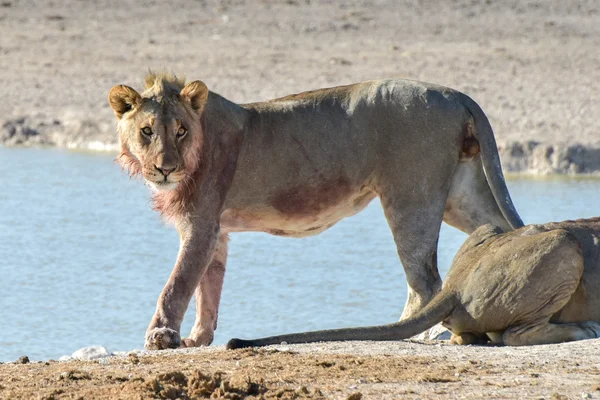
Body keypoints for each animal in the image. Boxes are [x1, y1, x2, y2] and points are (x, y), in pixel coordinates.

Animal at [110, 72, 524, 350]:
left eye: (180, 131)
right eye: (147, 131)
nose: (165, 168)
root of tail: (454, 94)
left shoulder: (200, 225)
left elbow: (178, 284)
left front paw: (161, 335)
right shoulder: (218, 231)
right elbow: (207, 288)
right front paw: (198, 338)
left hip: (411, 197)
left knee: (424, 281)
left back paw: (395, 330)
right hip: (461, 193)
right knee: (502, 232)